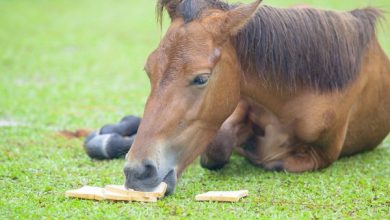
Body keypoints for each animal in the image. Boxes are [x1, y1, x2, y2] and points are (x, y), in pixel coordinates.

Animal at [89, 0, 390, 193]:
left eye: (201, 78)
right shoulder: (236, 106)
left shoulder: (321, 156)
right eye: (149, 71)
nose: (137, 172)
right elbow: (217, 147)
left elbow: (269, 159)